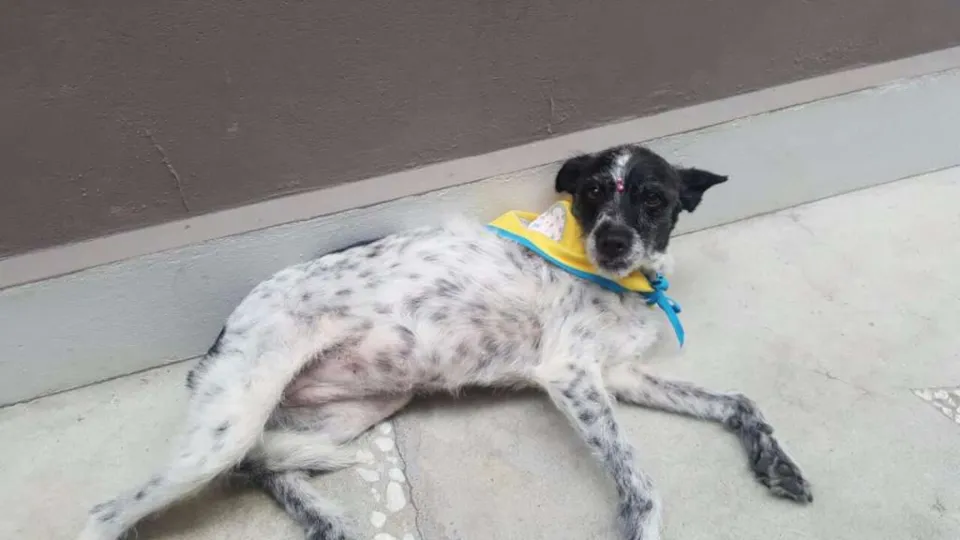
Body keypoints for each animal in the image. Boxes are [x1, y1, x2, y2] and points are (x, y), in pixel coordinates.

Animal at [79, 144, 811, 540]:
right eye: (593, 193)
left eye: (654, 199)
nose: (611, 240)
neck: (624, 283)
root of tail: (225, 329)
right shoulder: (572, 375)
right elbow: (639, 478)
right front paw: (642, 522)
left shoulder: (620, 376)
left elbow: (739, 402)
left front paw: (777, 462)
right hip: (232, 420)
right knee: (108, 512)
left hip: (353, 409)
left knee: (265, 464)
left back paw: (327, 520)